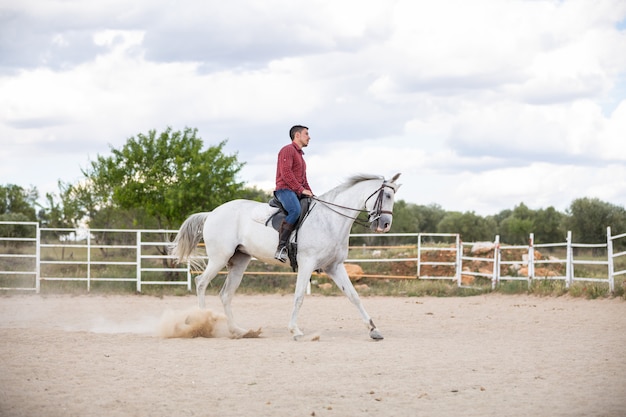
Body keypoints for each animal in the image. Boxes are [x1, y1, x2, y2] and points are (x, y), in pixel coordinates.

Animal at [169, 172, 400, 338]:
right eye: (387, 196)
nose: (385, 225)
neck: (330, 220)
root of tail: (212, 213)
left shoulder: (334, 267)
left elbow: (354, 296)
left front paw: (373, 329)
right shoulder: (307, 264)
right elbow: (298, 297)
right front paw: (295, 330)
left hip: (239, 261)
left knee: (226, 294)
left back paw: (239, 331)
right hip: (219, 258)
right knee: (201, 283)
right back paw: (202, 325)